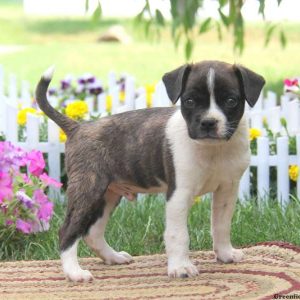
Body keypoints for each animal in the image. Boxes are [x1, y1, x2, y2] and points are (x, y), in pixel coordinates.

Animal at [34, 60, 264, 282]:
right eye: (189, 101)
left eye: (231, 101)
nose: (208, 122)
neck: (213, 149)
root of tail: (78, 128)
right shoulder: (179, 194)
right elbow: (178, 234)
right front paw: (180, 267)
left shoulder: (227, 190)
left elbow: (221, 225)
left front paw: (225, 254)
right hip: (88, 189)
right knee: (68, 231)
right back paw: (74, 272)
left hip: (108, 195)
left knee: (93, 232)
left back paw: (113, 257)